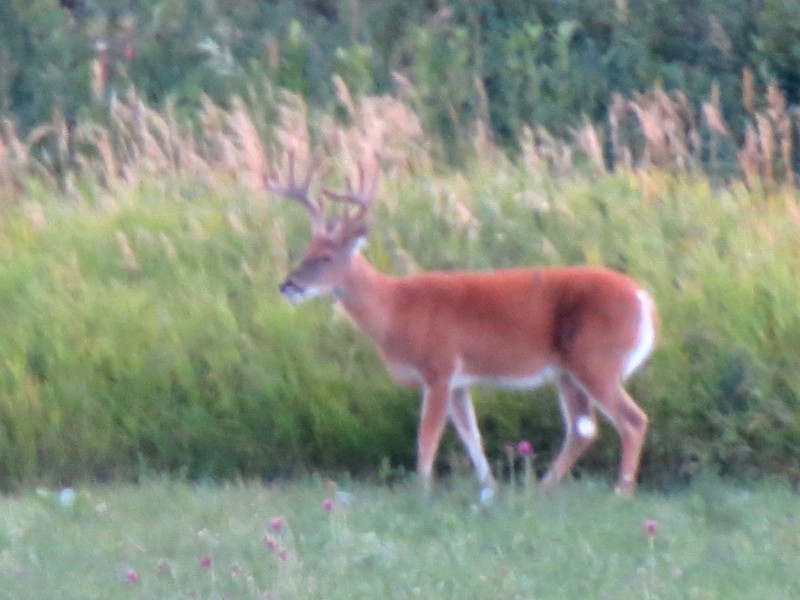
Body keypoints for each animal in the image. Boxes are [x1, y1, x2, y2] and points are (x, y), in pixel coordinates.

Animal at [268, 152, 656, 504]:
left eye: (325, 258)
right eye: (304, 251)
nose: (287, 286)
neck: (396, 311)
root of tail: (644, 301)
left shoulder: (438, 368)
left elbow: (427, 436)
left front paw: (421, 491)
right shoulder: (459, 381)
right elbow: (472, 436)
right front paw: (489, 489)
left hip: (596, 360)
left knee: (632, 420)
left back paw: (621, 492)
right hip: (567, 372)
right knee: (581, 430)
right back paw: (542, 489)